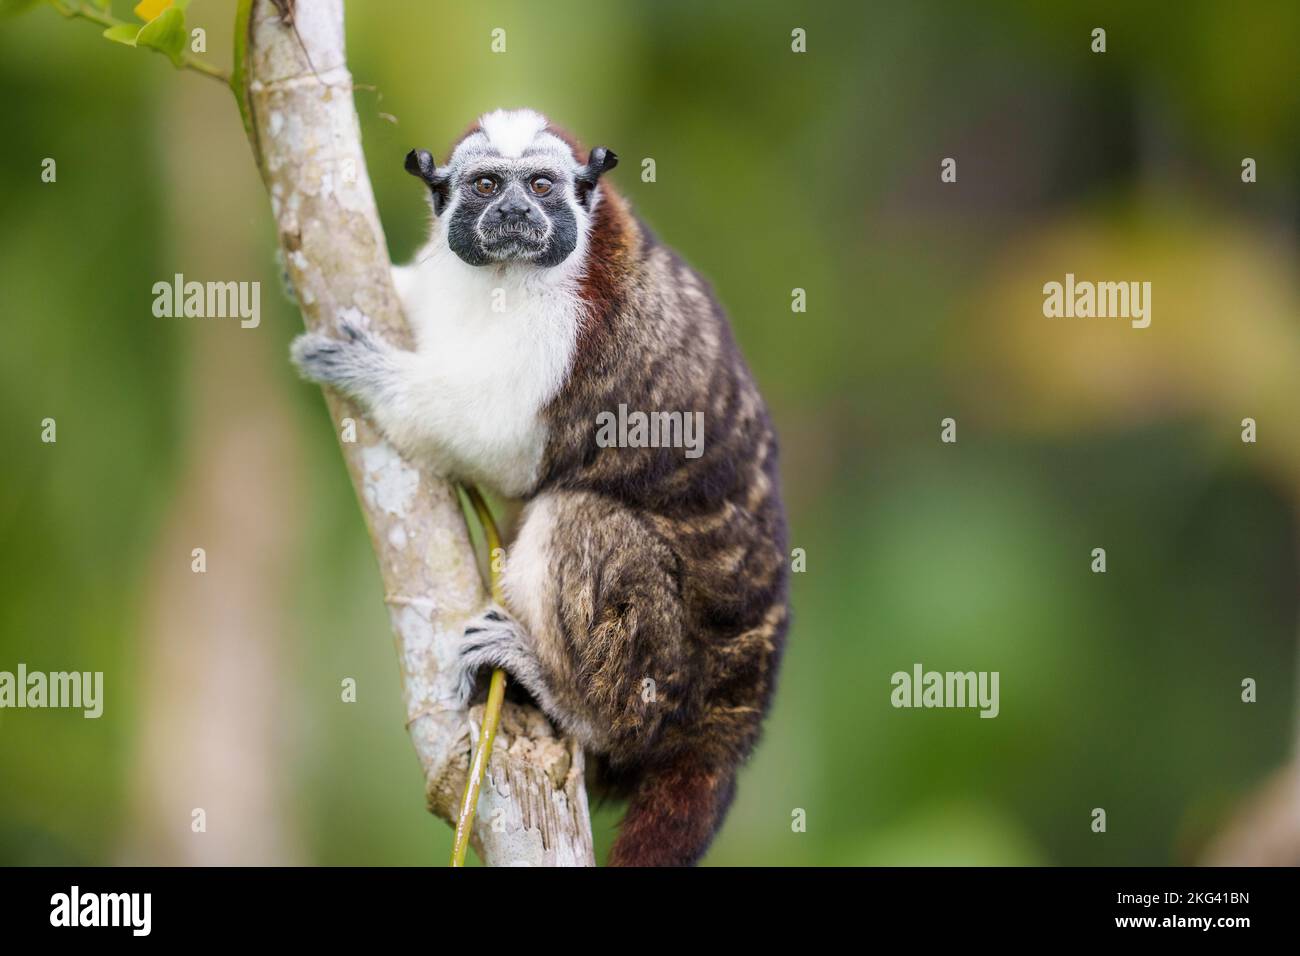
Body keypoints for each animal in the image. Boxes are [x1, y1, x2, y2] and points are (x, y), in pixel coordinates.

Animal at [291, 109, 789, 866]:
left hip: (670, 679)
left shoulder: (565, 326)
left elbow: (500, 441)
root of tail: (736, 711)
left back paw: (567, 698)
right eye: (487, 185)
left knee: (577, 516)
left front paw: (366, 371)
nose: (516, 214)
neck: (504, 275)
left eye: (542, 186)